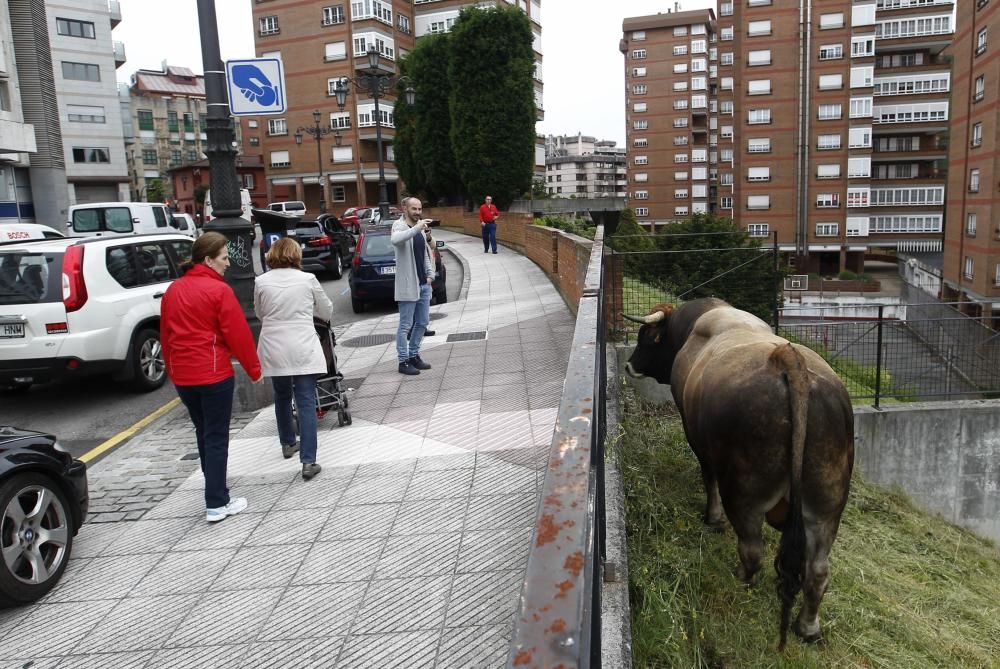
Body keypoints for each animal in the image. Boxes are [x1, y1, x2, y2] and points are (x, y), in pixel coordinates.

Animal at [624, 298, 852, 648]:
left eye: (647, 337)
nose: (629, 366)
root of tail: (787, 359)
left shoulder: (697, 439)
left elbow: (709, 480)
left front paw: (712, 517)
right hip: (826, 510)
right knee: (818, 571)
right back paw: (808, 627)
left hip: (744, 494)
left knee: (752, 551)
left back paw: (742, 581)